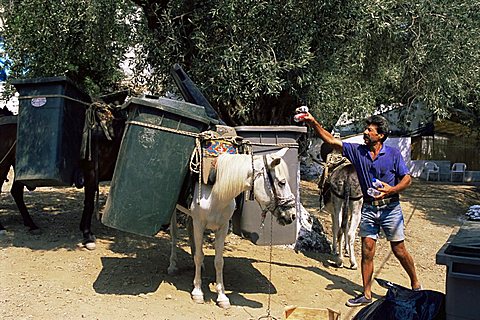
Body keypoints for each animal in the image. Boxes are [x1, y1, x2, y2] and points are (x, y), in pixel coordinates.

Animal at [168, 149, 296, 308]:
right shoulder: (199, 223)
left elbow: (218, 261)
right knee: (174, 234)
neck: (216, 192)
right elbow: (199, 256)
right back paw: (172, 265)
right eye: (282, 182)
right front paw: (197, 292)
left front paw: (222, 297)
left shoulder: (222, 227)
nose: (292, 215)